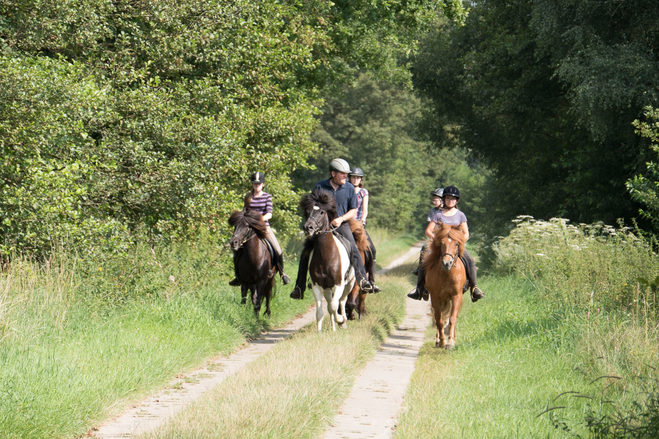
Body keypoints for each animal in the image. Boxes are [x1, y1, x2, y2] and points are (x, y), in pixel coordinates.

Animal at [302, 187, 356, 332]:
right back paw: (333, 328)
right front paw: (319, 332)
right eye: (308, 212)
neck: (325, 257)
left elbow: (333, 306)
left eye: (321, 212)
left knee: (341, 301)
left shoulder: (338, 285)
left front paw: (341, 320)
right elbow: (321, 311)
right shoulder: (316, 285)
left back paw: (343, 322)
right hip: (327, 288)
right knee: (330, 304)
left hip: (349, 284)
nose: (308, 228)